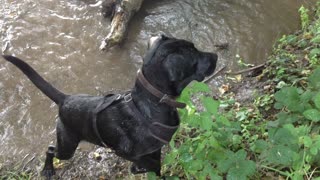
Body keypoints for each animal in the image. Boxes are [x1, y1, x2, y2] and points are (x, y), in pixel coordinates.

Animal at [2, 34, 218, 178]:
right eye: (194, 55)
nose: (216, 56)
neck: (152, 103)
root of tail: (65, 99)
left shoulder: (154, 149)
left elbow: (155, 165)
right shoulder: (126, 152)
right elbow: (149, 165)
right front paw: (140, 169)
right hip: (67, 145)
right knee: (50, 149)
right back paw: (48, 170)